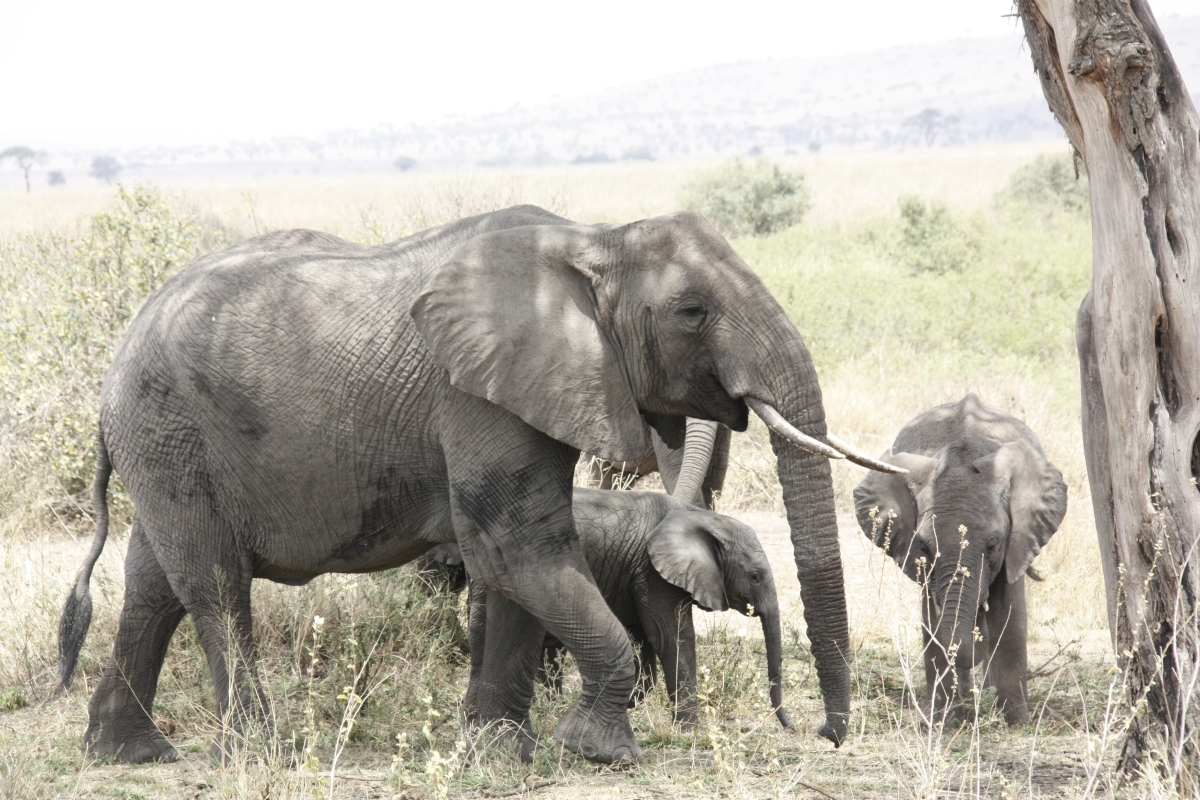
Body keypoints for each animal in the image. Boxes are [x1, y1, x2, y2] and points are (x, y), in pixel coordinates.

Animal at [436, 484, 792, 734]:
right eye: (755, 576)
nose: (791, 726)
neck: (702, 517)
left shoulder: (637, 575)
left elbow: (644, 638)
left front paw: (632, 705)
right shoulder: (652, 574)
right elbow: (670, 636)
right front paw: (690, 731)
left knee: (482, 631)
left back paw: (475, 721)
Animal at [849, 393, 1065, 724]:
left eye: (992, 545)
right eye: (924, 546)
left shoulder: (1017, 539)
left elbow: (1010, 617)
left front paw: (1016, 723)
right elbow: (931, 620)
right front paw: (945, 722)